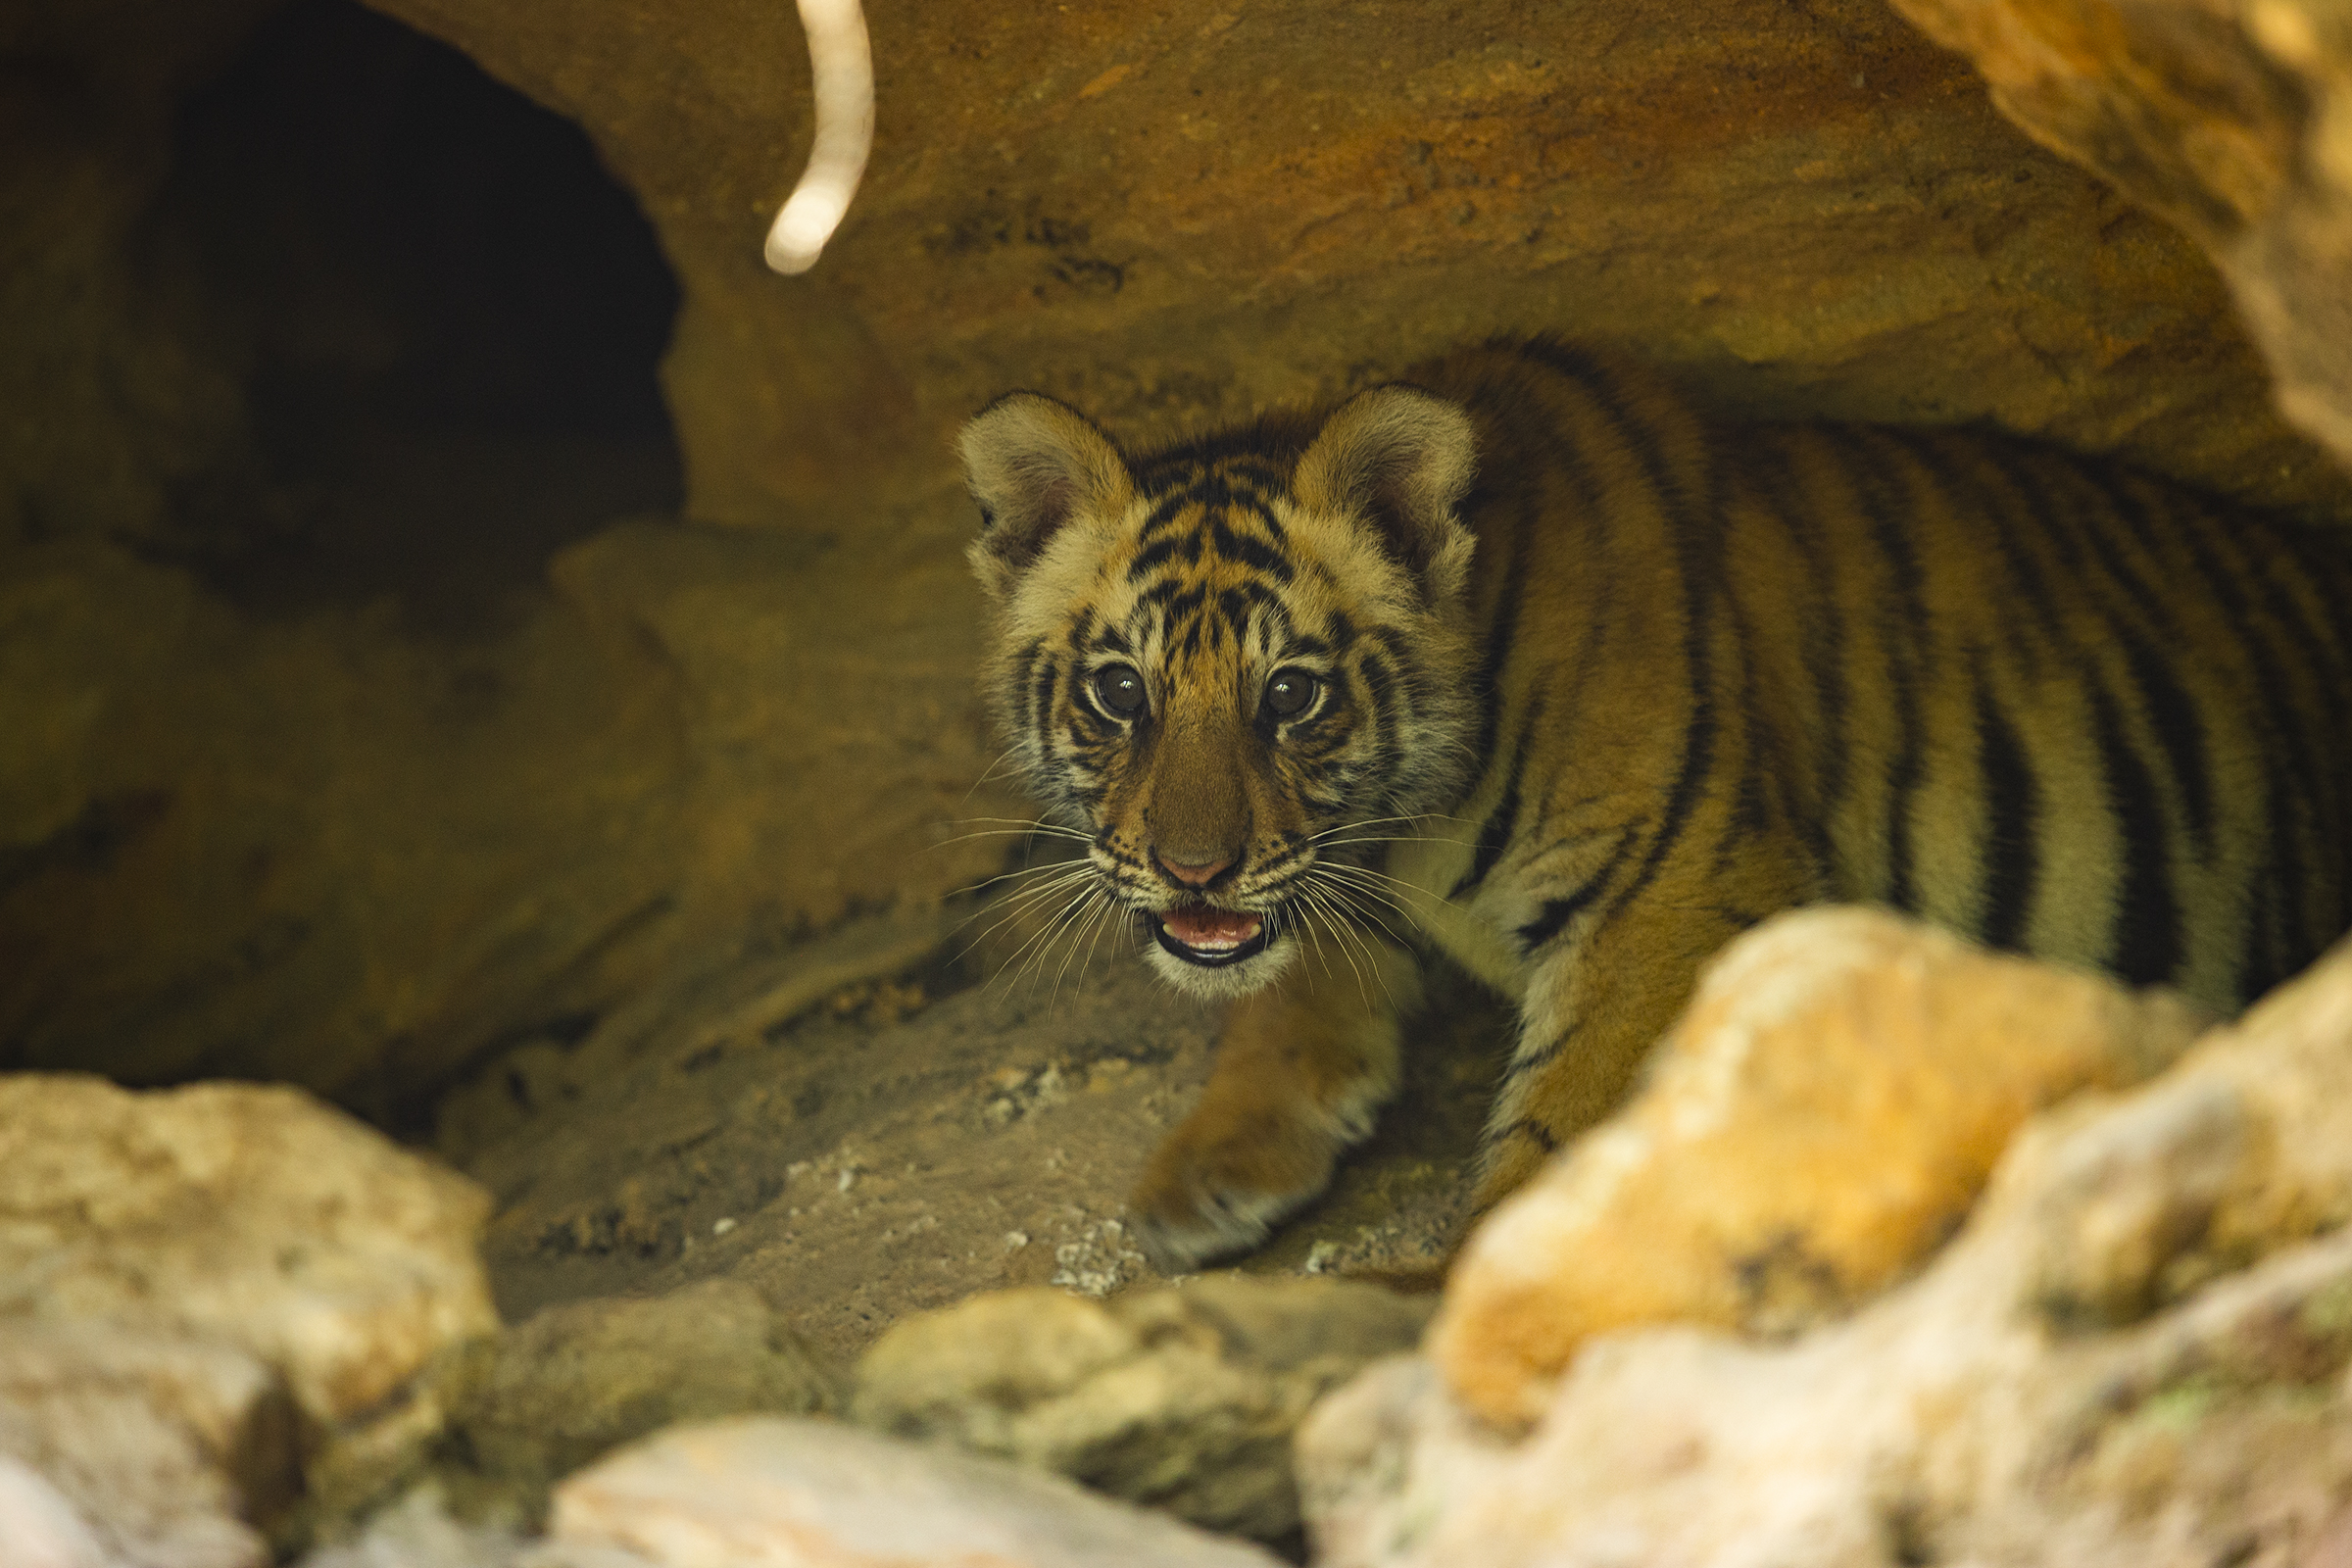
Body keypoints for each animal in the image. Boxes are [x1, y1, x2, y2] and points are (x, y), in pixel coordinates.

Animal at [959, 336, 2352, 1273]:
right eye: (1121, 691)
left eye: (1291, 694)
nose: (1191, 871)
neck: (1412, 821)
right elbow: (1290, 979)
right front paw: (1211, 1162)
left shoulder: (1664, 895)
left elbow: (1566, 1127)